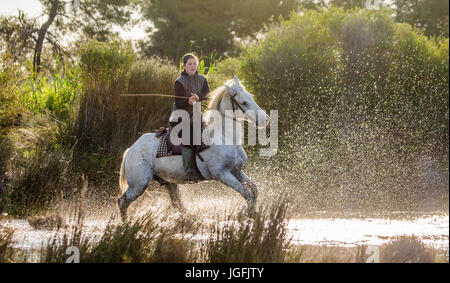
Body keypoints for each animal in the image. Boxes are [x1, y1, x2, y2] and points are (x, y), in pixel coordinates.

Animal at [118, 76, 268, 221]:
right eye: (244, 102)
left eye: (251, 96)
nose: (265, 119)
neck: (225, 135)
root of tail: (131, 150)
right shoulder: (223, 174)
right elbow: (246, 193)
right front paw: (245, 214)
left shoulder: (237, 171)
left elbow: (254, 190)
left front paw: (252, 214)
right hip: (139, 184)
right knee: (122, 201)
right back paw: (126, 224)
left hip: (168, 183)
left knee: (177, 204)